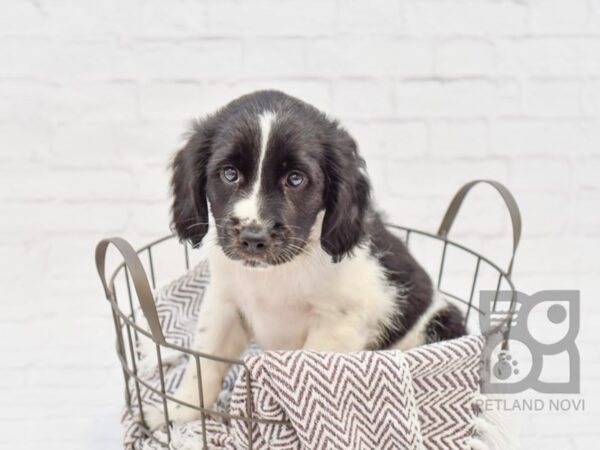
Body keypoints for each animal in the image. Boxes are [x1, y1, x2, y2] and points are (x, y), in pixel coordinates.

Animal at [149, 89, 464, 428]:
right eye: (229, 174)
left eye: (295, 179)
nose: (253, 238)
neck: (276, 273)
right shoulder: (225, 303)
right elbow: (204, 363)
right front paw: (178, 411)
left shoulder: (338, 322)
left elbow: (309, 374)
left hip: (440, 322)